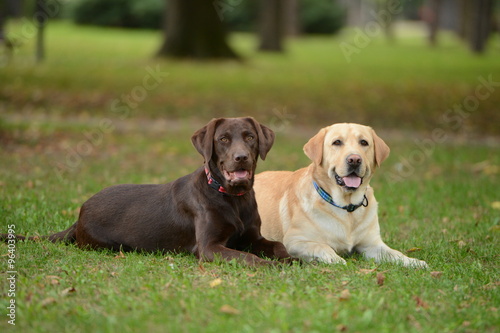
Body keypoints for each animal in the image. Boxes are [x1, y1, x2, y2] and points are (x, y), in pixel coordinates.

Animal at [4, 118, 292, 266]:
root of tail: (79, 213)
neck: (233, 198)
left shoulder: (253, 237)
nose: (241, 158)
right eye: (223, 139)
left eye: (250, 137)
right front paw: (273, 266)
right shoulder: (210, 247)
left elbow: (278, 247)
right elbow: (250, 259)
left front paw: (292, 260)